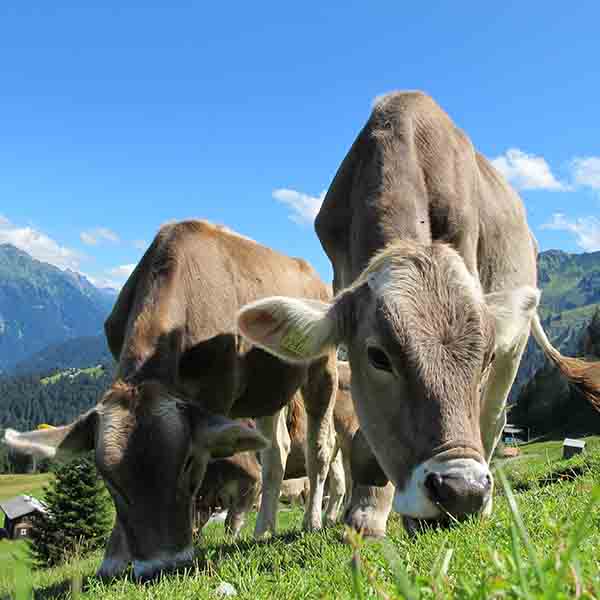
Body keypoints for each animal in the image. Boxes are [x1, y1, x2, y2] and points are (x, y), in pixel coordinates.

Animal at [3, 221, 338, 580]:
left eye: (188, 463)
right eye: (108, 479)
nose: (160, 566)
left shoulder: (217, 394)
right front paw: (114, 558)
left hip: (322, 367)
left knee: (320, 447)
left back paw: (313, 521)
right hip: (267, 390)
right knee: (277, 451)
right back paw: (264, 529)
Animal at [236, 92, 600, 536]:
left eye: (484, 358)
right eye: (378, 357)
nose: (462, 492)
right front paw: (366, 511)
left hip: (515, 347)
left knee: (493, 418)